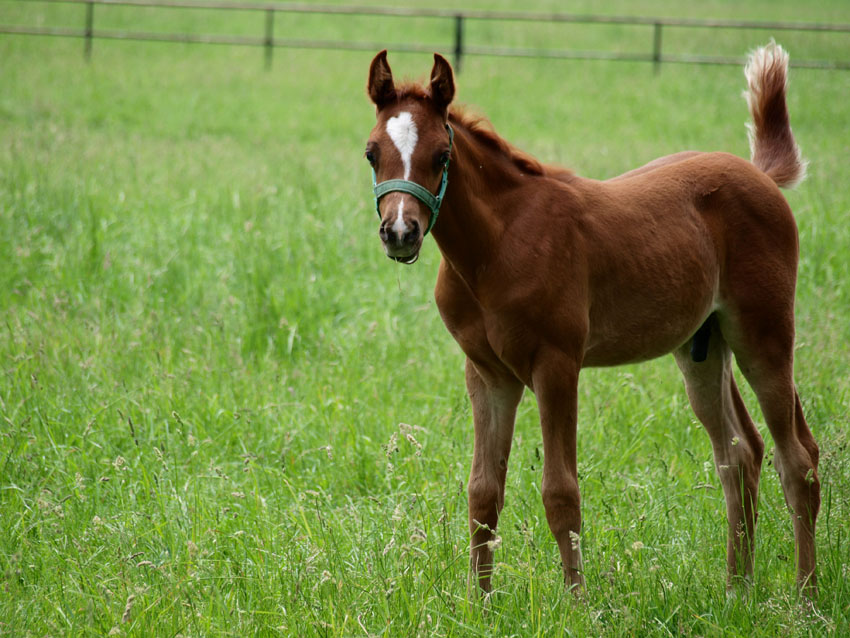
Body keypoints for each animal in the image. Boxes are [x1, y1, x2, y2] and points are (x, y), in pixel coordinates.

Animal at [362, 43, 820, 596]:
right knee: (741, 453)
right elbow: (482, 492)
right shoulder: (488, 374)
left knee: (797, 459)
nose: (400, 232)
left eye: (441, 156)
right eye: (371, 152)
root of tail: (759, 176)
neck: (497, 246)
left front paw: (578, 602)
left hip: (764, 334)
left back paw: (805, 596)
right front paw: (479, 602)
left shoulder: (557, 364)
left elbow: (561, 492)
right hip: (702, 347)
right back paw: (737, 590)